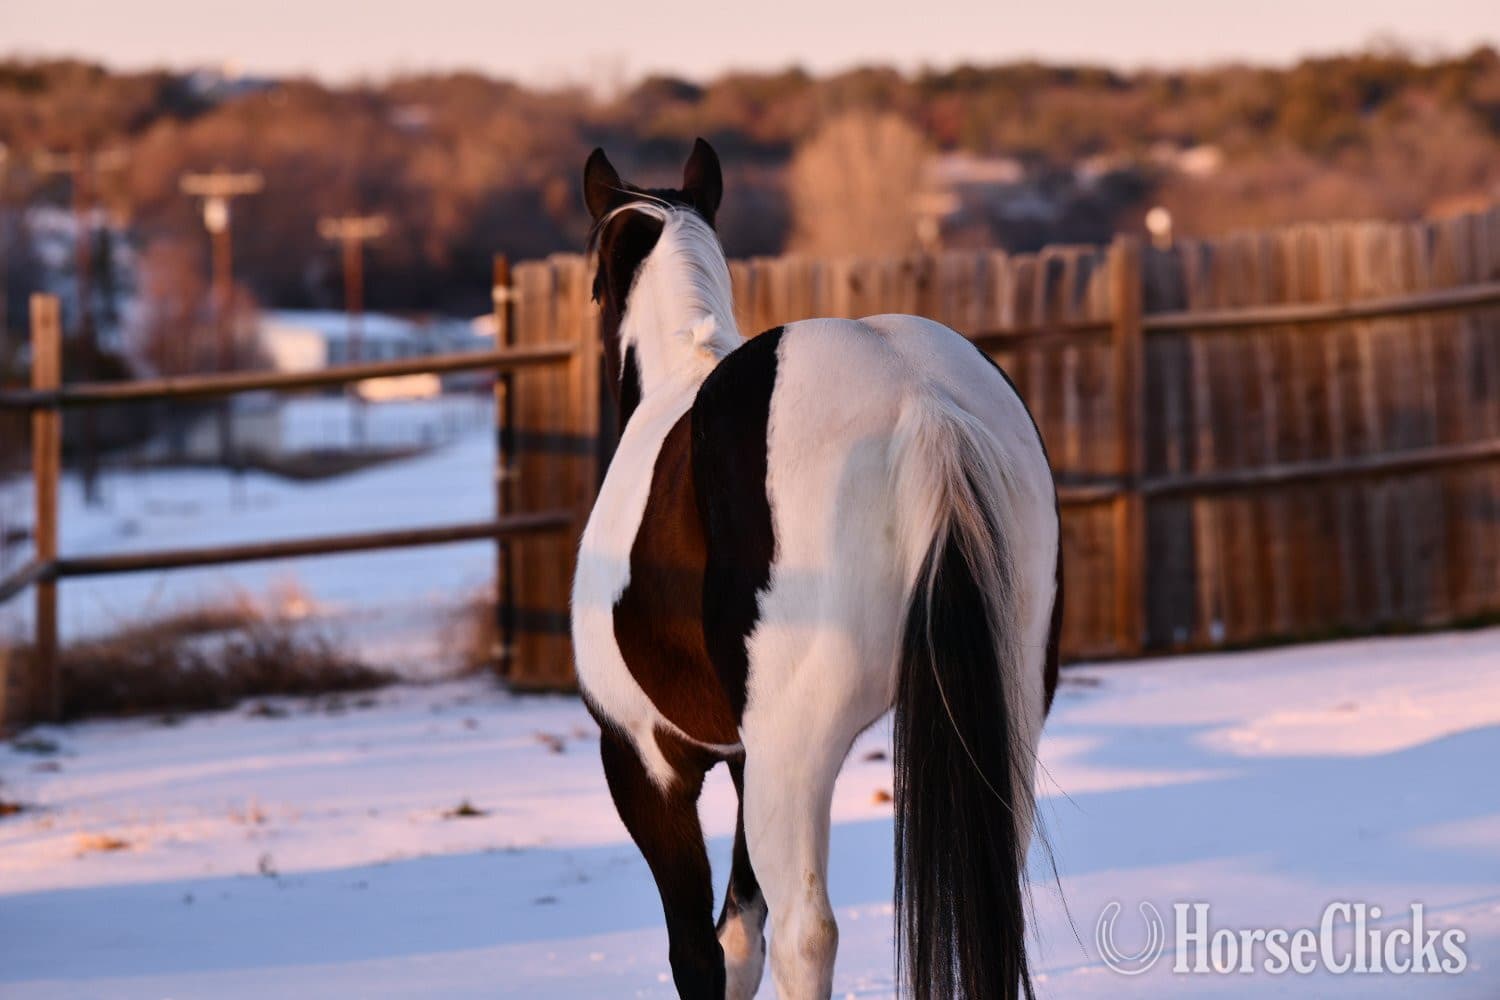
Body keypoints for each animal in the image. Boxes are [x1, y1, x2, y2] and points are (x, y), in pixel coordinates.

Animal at [571, 138, 1062, 1000]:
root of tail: (922, 405)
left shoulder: (644, 757)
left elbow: (700, 951)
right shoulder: (739, 757)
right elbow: (739, 935)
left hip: (794, 753)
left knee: (807, 933)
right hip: (1003, 712)